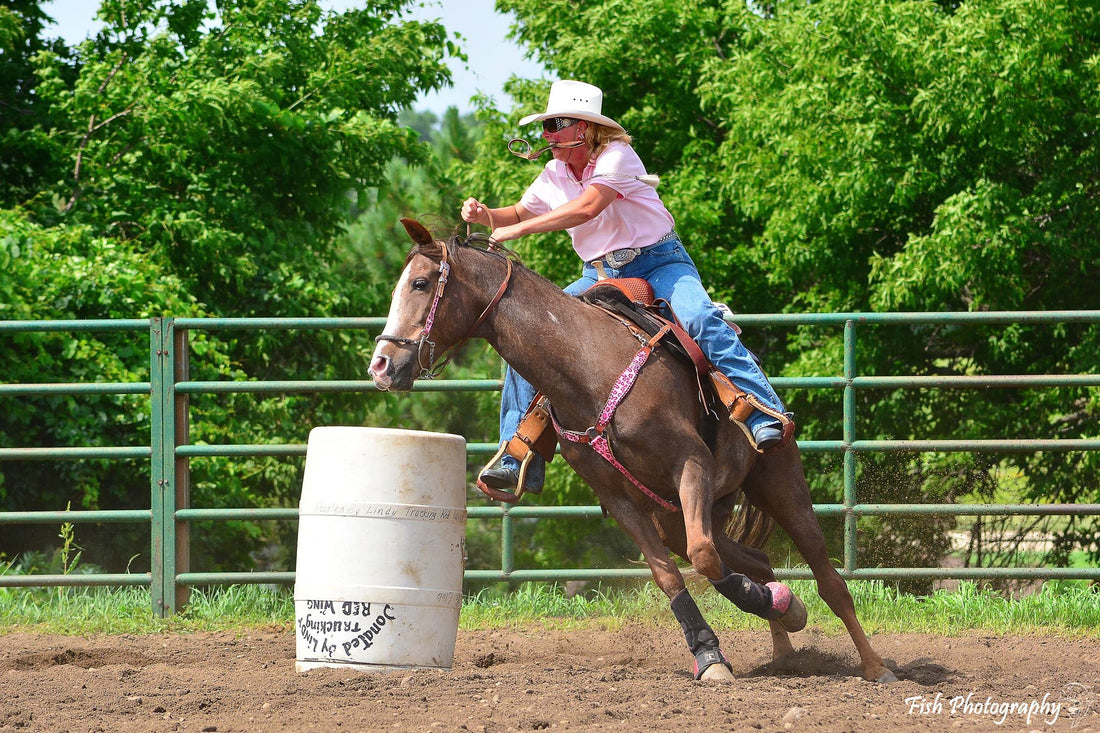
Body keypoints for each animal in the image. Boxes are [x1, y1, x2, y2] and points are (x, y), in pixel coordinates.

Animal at [369, 217, 902, 686]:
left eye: (420, 283)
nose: (381, 365)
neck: (588, 365)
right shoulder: (622, 501)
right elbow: (673, 576)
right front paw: (711, 657)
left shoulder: (691, 463)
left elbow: (705, 560)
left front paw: (752, 617)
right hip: (678, 514)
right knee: (754, 558)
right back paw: (785, 630)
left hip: (778, 481)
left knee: (827, 578)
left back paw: (875, 666)